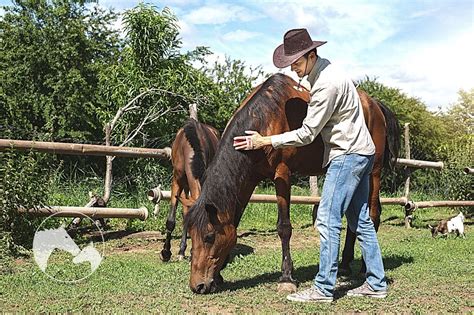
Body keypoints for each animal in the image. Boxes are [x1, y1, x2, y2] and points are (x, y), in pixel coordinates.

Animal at [159, 118, 218, 262]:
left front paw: (189, 251)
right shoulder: (176, 180)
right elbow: (171, 220)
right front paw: (166, 252)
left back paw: (182, 250)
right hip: (184, 185)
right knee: (185, 211)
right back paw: (180, 251)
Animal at [183, 73, 398, 294]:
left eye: (209, 236)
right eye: (190, 234)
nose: (198, 285)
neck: (265, 117)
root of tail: (376, 105)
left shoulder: (283, 174)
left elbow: (284, 227)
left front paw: (286, 277)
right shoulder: (247, 180)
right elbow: (233, 221)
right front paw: (218, 275)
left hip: (373, 173)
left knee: (373, 215)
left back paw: (364, 268)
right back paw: (345, 264)